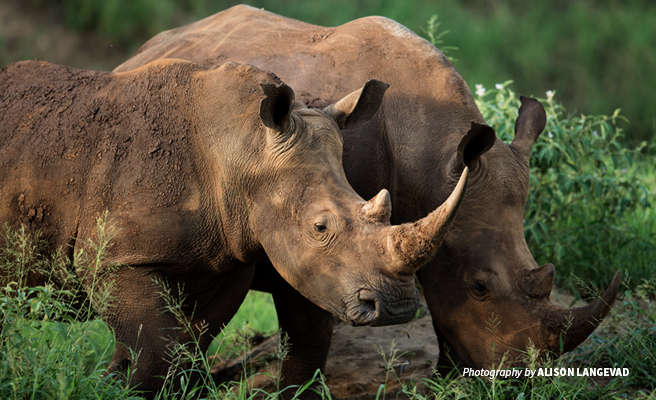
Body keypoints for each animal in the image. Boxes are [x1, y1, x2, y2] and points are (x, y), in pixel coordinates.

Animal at [1, 58, 472, 394]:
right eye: (320, 228)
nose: (397, 308)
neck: (241, 148)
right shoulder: (117, 260)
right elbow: (156, 351)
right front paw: (121, 388)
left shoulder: (225, 259)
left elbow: (186, 350)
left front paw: (119, 385)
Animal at [115, 3, 624, 388]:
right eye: (480, 286)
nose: (521, 379)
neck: (429, 156)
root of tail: (138, 54)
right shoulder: (310, 242)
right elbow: (310, 331)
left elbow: (441, 307)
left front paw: (447, 382)